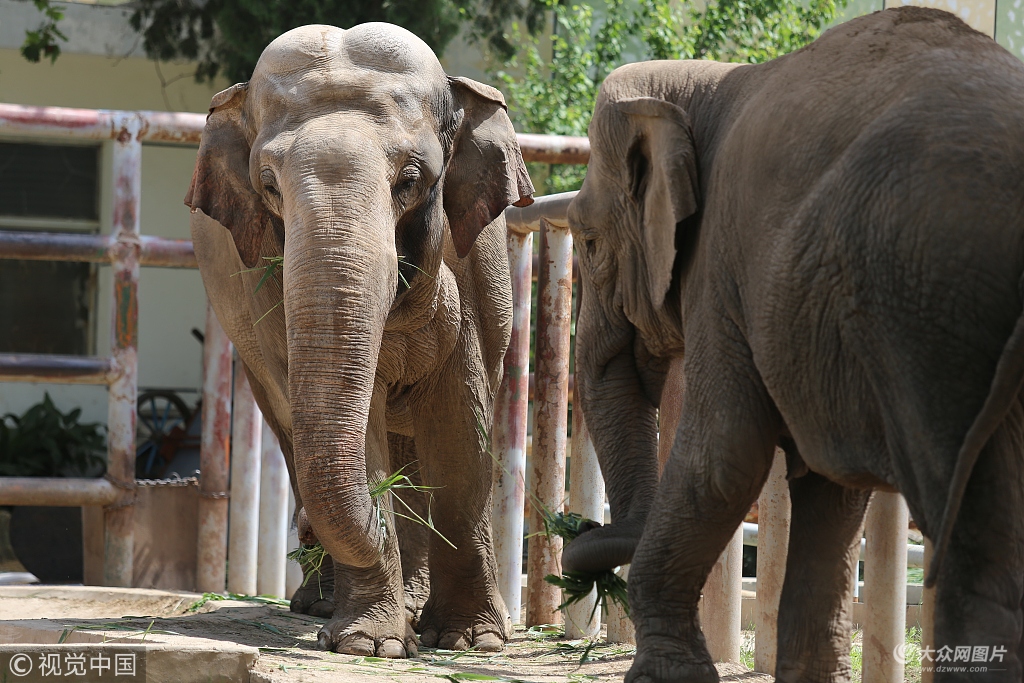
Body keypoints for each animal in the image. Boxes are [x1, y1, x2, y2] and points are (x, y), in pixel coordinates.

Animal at [186, 24, 536, 659]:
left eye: (411, 181)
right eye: (268, 186)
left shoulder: (468, 274)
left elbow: (460, 442)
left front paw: (471, 641)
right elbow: (360, 435)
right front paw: (370, 645)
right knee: (295, 437)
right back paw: (326, 605)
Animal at [565, 6, 1024, 683]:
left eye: (591, 243)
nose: (574, 531)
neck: (708, 83)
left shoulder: (722, 265)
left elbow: (724, 455)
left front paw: (664, 677)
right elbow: (830, 496)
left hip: (933, 311)